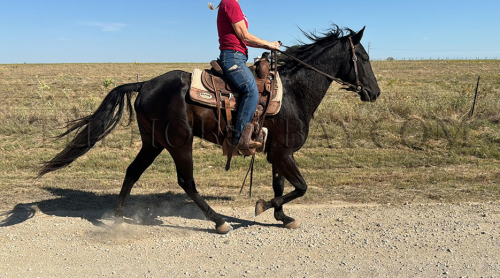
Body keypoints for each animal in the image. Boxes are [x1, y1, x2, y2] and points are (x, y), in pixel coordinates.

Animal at [39, 25, 380, 233]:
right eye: (363, 57)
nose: (374, 92)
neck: (294, 92)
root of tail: (145, 84)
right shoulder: (283, 153)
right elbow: (300, 187)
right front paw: (262, 207)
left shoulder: (277, 153)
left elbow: (282, 186)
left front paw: (282, 217)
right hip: (179, 142)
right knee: (186, 181)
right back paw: (217, 221)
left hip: (153, 142)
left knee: (132, 171)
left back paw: (118, 217)